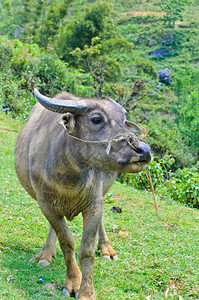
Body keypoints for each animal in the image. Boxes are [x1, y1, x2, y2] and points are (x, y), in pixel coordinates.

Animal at [14, 88, 152, 298]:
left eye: (123, 119)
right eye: (96, 119)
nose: (144, 150)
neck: (68, 177)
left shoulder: (93, 205)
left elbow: (86, 250)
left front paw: (86, 291)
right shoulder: (46, 205)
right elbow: (67, 242)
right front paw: (72, 282)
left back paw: (106, 249)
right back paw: (46, 253)